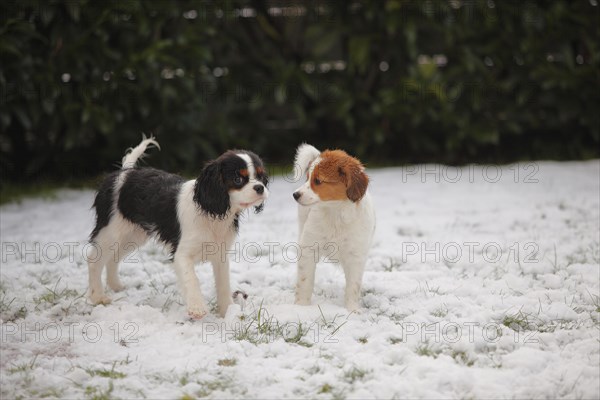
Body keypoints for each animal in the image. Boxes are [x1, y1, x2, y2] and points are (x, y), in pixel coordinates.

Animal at [86, 138, 268, 318]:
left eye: (260, 176)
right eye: (238, 179)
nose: (260, 187)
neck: (212, 213)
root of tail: (124, 172)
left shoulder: (220, 254)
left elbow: (223, 283)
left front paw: (228, 312)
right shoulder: (182, 254)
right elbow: (191, 278)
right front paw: (197, 308)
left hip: (133, 235)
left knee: (113, 258)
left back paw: (116, 286)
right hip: (110, 230)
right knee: (94, 259)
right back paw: (98, 297)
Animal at [292, 145, 376, 312]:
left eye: (318, 181)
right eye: (307, 178)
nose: (295, 195)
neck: (335, 213)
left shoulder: (356, 256)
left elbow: (353, 286)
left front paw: (352, 310)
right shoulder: (308, 249)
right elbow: (305, 280)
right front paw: (302, 307)